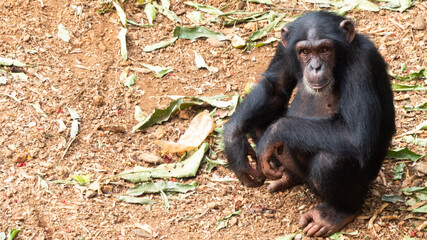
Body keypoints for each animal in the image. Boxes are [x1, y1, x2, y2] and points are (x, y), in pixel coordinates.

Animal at [224, 11, 394, 236]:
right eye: (304, 51)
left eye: (324, 50)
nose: (315, 66)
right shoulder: (283, 49)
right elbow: (275, 87)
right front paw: (234, 143)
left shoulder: (362, 64)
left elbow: (357, 135)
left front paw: (274, 133)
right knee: (259, 121)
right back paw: (287, 176)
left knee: (331, 161)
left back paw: (335, 214)